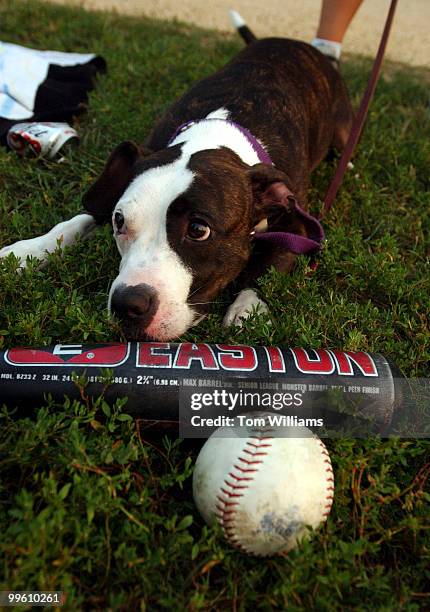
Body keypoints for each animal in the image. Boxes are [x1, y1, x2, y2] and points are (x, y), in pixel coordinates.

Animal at [0, 14, 352, 340]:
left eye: (198, 229)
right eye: (119, 221)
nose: (128, 304)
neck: (220, 132)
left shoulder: (297, 223)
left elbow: (271, 265)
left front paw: (248, 308)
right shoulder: (109, 193)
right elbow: (75, 221)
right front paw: (26, 252)